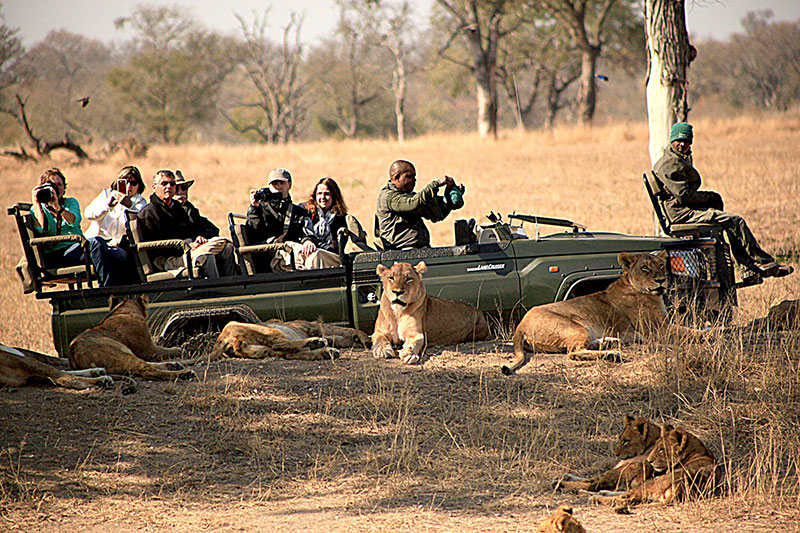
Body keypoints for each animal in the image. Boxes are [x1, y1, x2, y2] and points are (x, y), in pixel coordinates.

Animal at [67, 294, 195, 380]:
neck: (123, 311)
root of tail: (74, 355)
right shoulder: (149, 349)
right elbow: (171, 350)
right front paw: (181, 349)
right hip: (120, 355)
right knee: (147, 370)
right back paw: (184, 373)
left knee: (147, 364)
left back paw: (173, 365)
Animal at [504, 250, 704, 372]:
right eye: (645, 268)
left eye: (661, 265)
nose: (662, 280)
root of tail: (520, 326)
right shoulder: (658, 330)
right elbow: (692, 332)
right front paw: (711, 334)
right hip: (575, 326)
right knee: (573, 352)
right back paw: (612, 354)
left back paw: (609, 343)